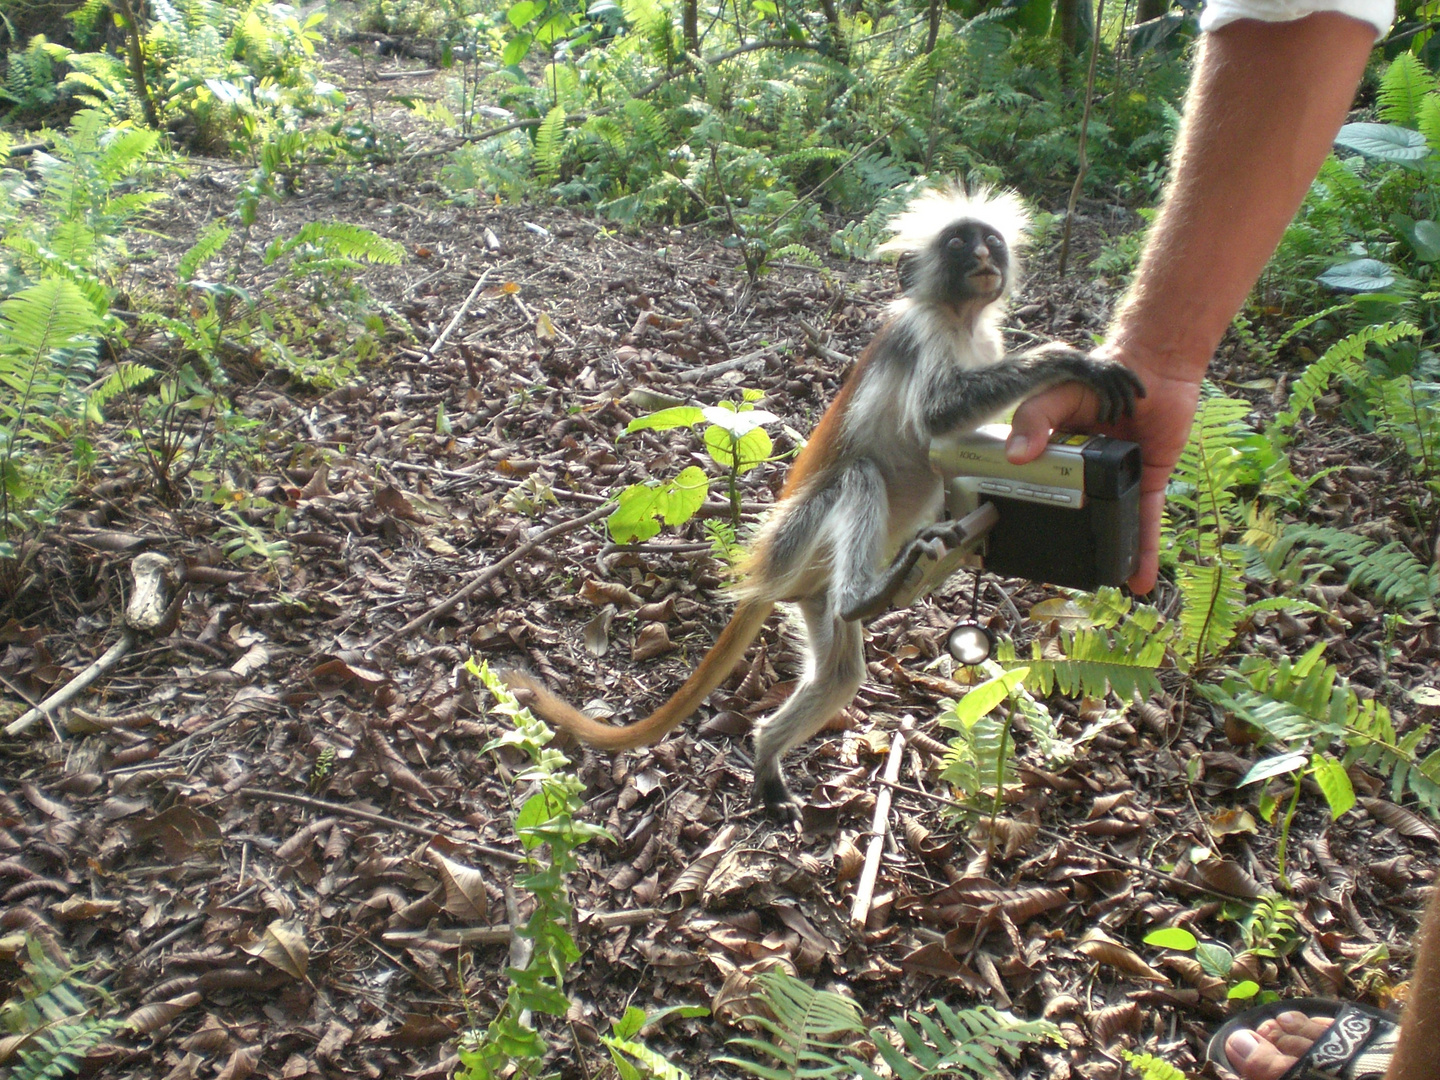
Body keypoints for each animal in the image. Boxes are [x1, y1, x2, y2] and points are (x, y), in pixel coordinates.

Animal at [506, 184, 1146, 817]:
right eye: (959, 243)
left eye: (988, 239)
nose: (986, 255)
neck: (961, 322)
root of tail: (769, 568)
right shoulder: (920, 333)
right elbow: (939, 418)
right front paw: (1069, 360)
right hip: (801, 532)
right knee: (860, 474)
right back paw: (870, 592)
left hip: (812, 591)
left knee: (839, 671)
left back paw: (769, 748)